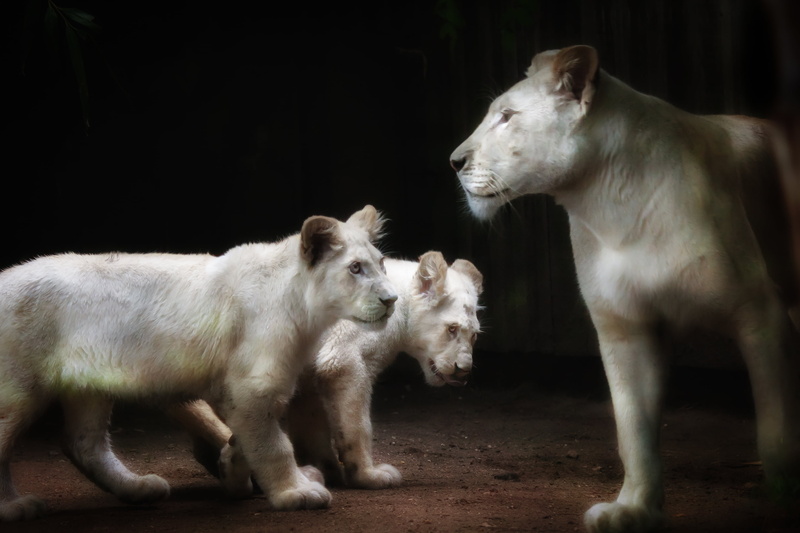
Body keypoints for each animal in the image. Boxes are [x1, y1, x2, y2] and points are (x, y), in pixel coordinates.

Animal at [0, 205, 397, 521]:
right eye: (355, 268)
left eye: (381, 265)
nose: (391, 299)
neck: (305, 310)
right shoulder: (254, 387)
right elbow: (274, 445)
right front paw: (294, 492)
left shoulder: (244, 389)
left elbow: (249, 437)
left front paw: (233, 468)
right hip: (18, 388)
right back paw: (15, 507)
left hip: (88, 386)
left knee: (84, 443)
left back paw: (139, 488)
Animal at [169, 250, 483, 495]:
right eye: (451, 328)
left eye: (475, 335)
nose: (463, 371)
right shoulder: (343, 360)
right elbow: (356, 425)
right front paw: (368, 475)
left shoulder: (310, 377)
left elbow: (313, 426)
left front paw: (327, 469)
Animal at [450, 45, 800, 532]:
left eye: (506, 116)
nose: (454, 161)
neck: (610, 205)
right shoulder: (624, 327)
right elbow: (633, 431)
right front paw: (633, 509)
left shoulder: (759, 315)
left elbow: (777, 428)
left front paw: (785, 498)